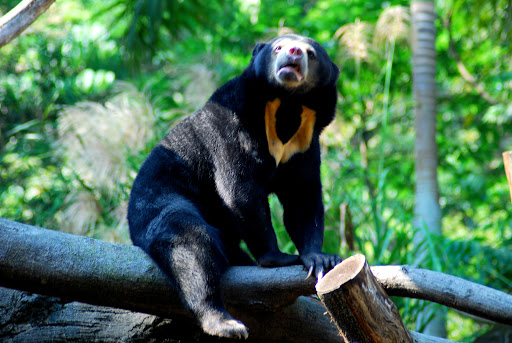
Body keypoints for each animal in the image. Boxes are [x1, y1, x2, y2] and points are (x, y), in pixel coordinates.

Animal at [127, 33, 342, 340]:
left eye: (310, 53)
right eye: (278, 47)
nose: (292, 51)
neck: (287, 105)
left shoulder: (305, 144)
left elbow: (301, 199)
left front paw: (320, 258)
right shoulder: (232, 125)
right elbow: (240, 189)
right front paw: (278, 258)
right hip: (157, 202)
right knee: (189, 242)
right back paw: (224, 323)